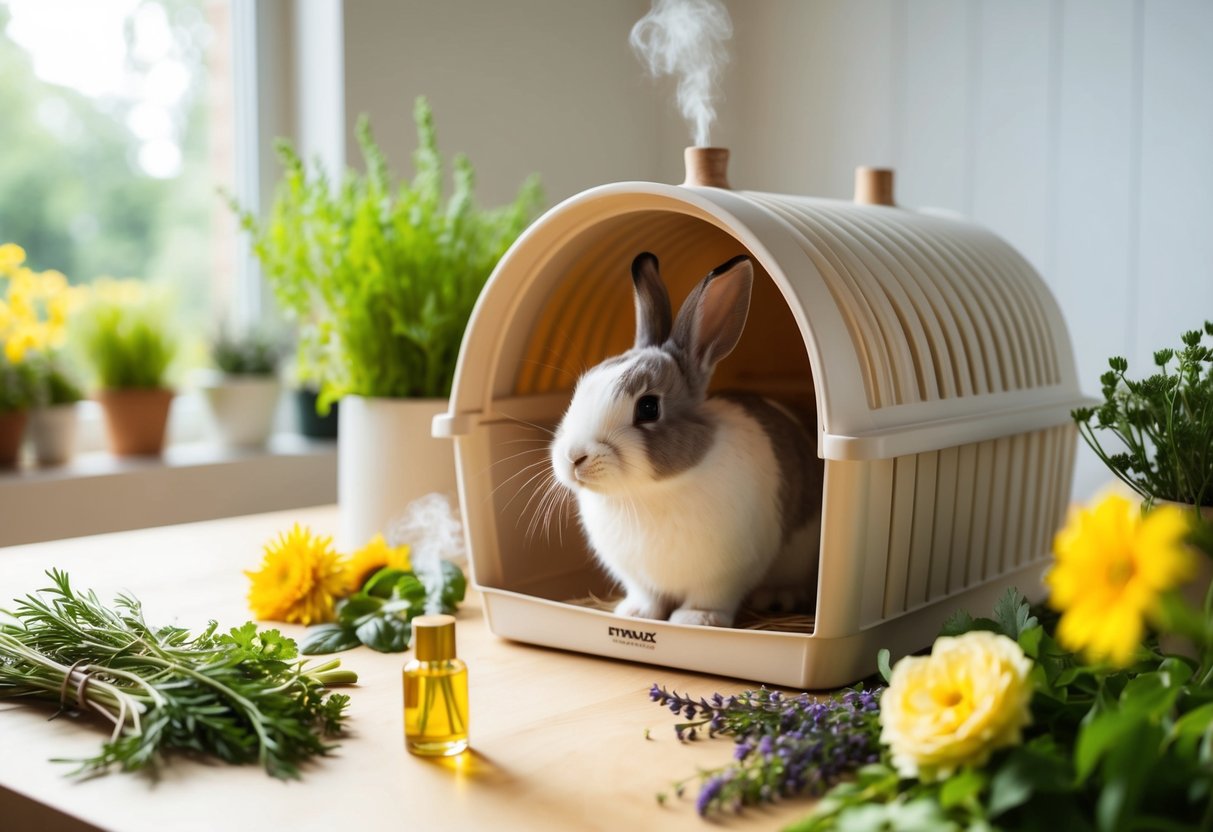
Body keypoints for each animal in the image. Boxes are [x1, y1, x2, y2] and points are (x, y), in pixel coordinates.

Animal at [549, 252, 823, 627]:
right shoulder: (638, 576)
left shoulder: (726, 574)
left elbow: (710, 597)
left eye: (648, 407)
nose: (573, 457)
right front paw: (635, 613)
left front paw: (695, 620)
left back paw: (777, 598)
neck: (647, 492)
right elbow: (647, 596)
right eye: (583, 386)